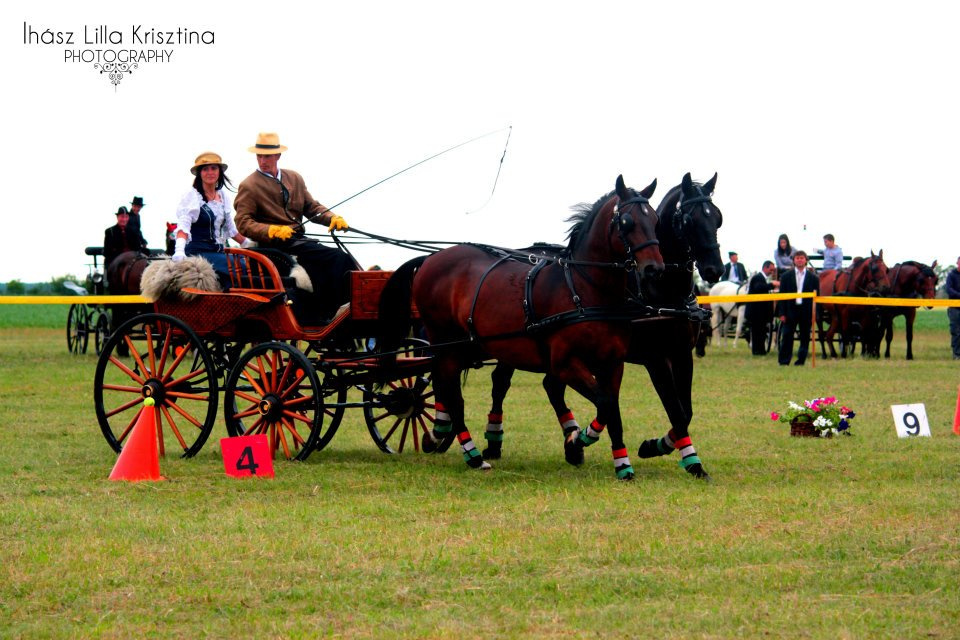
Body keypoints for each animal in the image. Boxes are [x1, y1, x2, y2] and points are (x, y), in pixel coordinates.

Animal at [378, 175, 664, 480]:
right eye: (627, 222)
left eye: (655, 219)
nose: (654, 270)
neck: (584, 290)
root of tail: (431, 258)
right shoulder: (565, 364)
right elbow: (605, 403)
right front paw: (576, 441)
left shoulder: (612, 363)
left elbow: (611, 408)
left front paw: (621, 463)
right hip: (446, 340)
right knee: (452, 392)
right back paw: (472, 454)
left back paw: (444, 434)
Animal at [484, 174, 724, 480]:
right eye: (688, 220)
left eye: (717, 217)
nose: (715, 269)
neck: (663, 292)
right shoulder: (656, 358)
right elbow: (675, 410)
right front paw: (661, 449)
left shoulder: (681, 354)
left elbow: (686, 411)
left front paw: (674, 452)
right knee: (501, 382)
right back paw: (494, 441)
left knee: (552, 385)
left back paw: (572, 442)